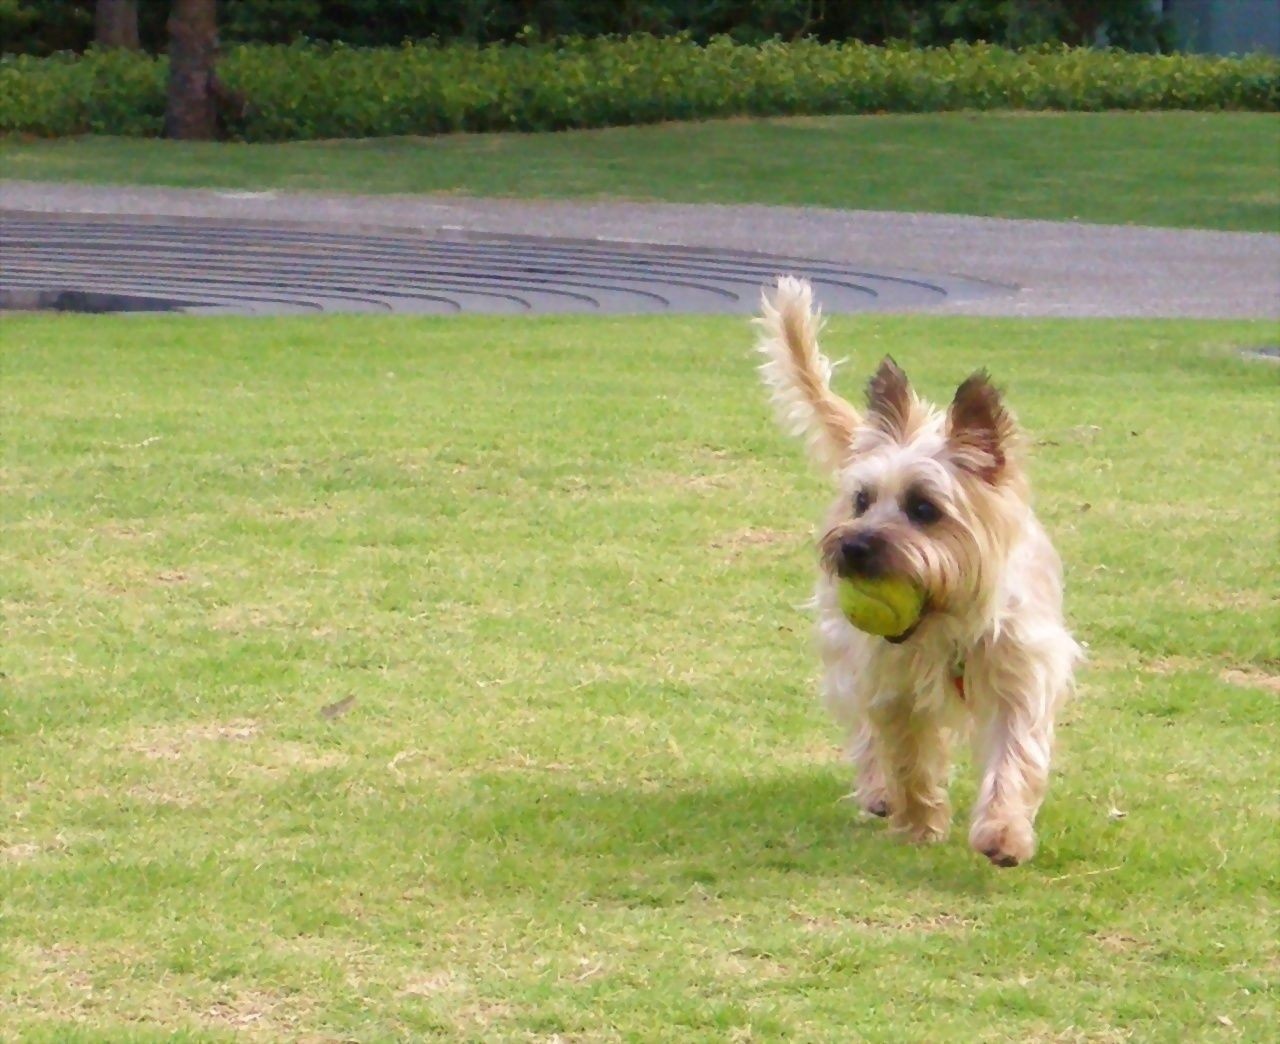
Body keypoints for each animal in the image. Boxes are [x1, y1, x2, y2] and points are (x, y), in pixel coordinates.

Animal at [757, 275, 1080, 864]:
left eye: (924, 508)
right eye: (862, 500)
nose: (852, 547)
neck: (946, 619)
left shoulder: (1023, 673)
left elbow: (1015, 757)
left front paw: (1003, 831)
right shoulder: (891, 684)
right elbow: (906, 755)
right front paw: (919, 824)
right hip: (846, 650)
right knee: (862, 730)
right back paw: (878, 793)